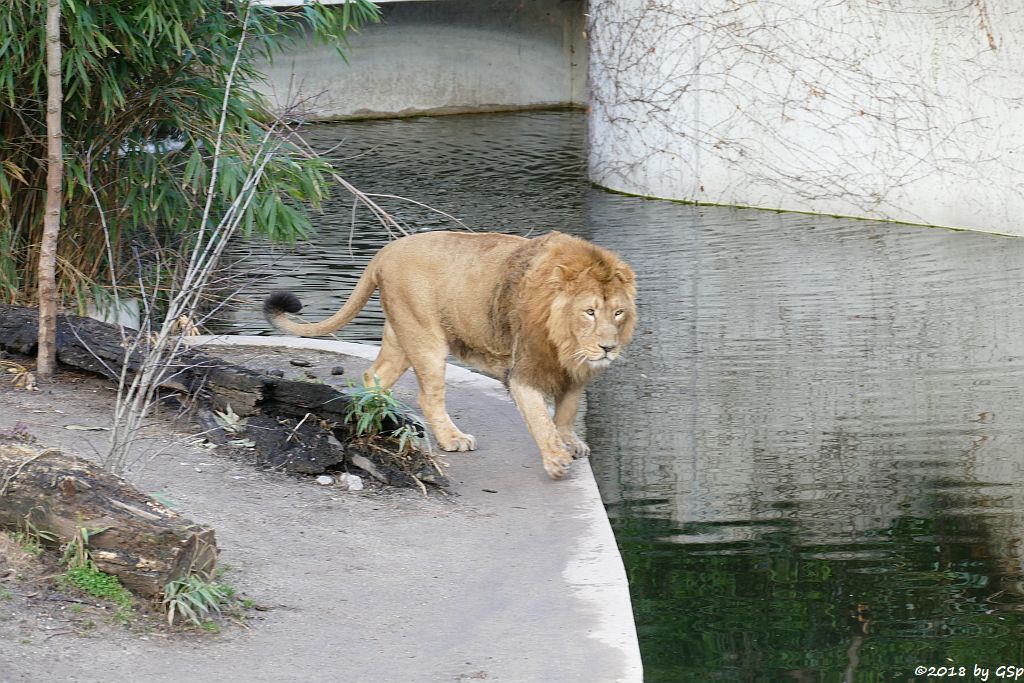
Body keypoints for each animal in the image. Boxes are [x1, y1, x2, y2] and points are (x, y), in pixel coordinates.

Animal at [262, 231, 630, 481]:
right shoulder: (522, 371)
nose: (608, 347)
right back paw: (452, 438)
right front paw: (556, 459)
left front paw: (571, 442)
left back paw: (374, 419)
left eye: (618, 313)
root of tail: (386, 250)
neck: (567, 344)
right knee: (429, 397)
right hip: (426, 339)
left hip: (401, 335)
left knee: (374, 375)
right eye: (589, 312)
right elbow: (541, 418)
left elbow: (568, 410)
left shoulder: (576, 373)